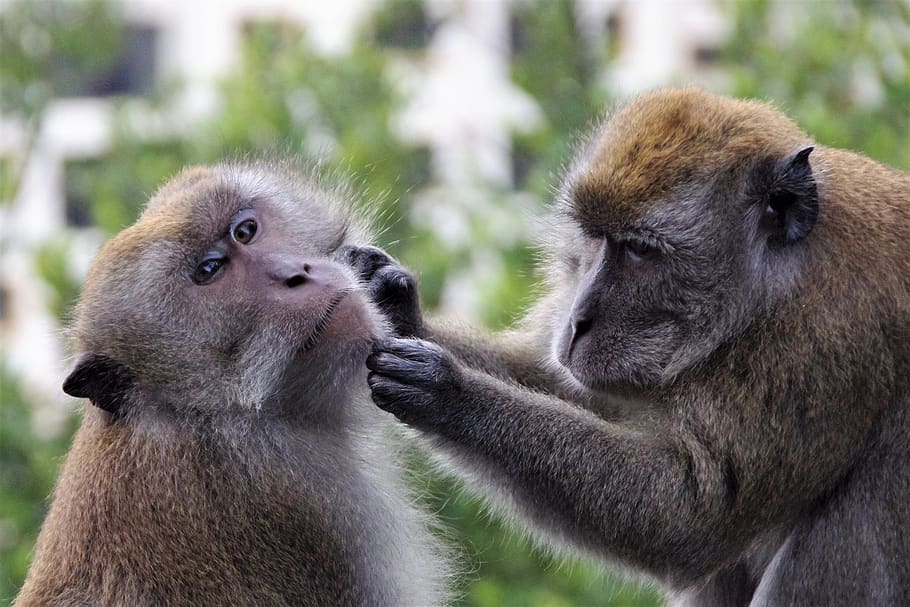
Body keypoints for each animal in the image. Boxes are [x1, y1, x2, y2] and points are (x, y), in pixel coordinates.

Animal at [350, 88, 910, 606]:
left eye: (640, 250)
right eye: (594, 237)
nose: (576, 321)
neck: (773, 286)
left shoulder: (824, 341)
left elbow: (691, 519)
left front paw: (449, 393)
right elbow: (559, 383)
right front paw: (394, 303)